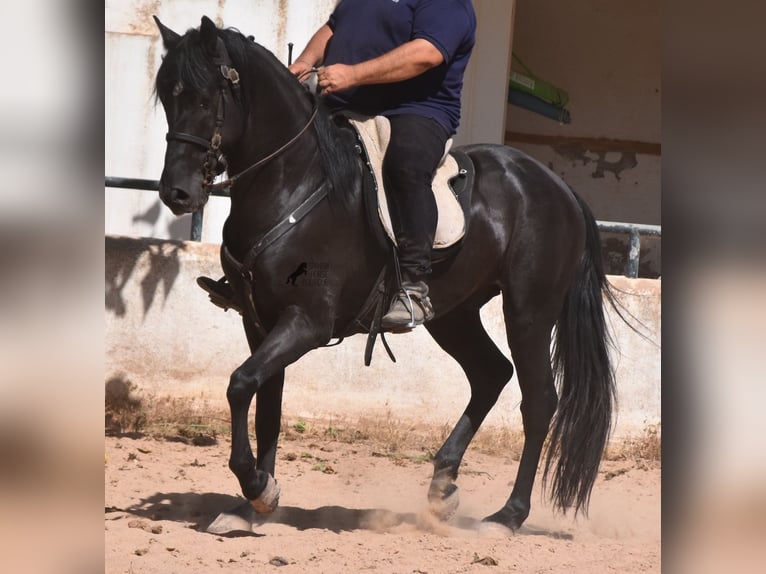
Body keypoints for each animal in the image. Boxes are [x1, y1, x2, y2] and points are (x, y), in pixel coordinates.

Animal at [153, 15, 620, 532]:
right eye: (167, 98)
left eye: (204, 98)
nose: (176, 192)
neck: (294, 182)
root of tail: (559, 187)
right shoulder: (259, 321)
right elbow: (264, 400)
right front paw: (252, 505)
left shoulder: (307, 321)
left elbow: (240, 385)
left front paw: (257, 487)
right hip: (455, 315)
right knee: (490, 375)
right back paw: (442, 488)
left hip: (530, 314)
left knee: (538, 401)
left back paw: (507, 515)